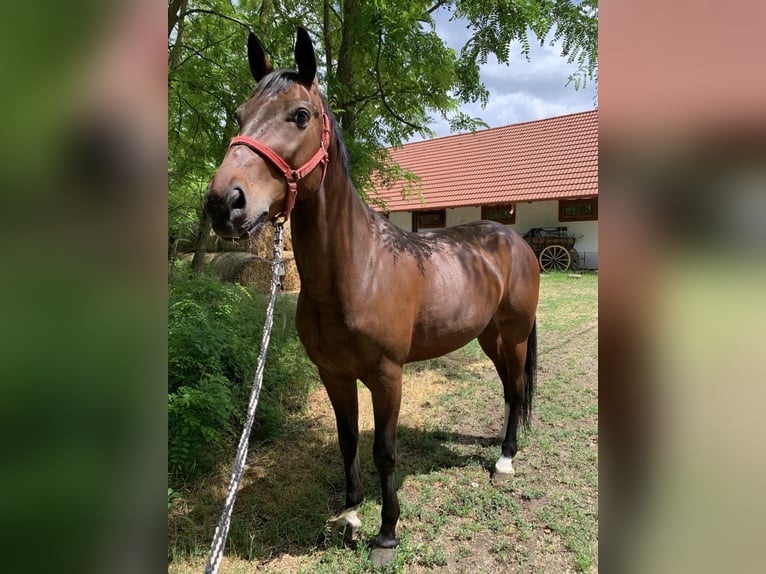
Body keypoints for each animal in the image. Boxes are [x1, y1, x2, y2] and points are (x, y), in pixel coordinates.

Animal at [204, 28, 540, 568]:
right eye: (239, 115)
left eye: (301, 115)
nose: (223, 204)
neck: (357, 270)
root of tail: (514, 240)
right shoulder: (334, 374)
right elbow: (347, 442)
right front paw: (349, 515)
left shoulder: (387, 376)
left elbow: (384, 450)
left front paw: (386, 532)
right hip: (488, 337)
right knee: (510, 387)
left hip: (513, 336)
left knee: (515, 390)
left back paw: (505, 458)